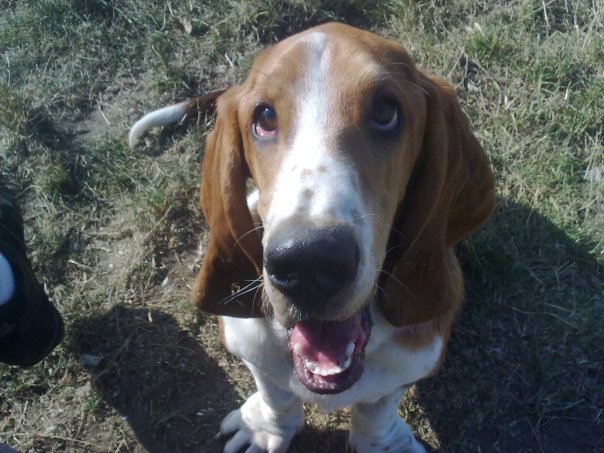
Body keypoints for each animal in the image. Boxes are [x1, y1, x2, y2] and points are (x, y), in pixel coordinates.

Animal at [129, 22, 495, 453]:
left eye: (385, 112)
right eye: (264, 117)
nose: (308, 262)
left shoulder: (409, 363)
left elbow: (377, 410)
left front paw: (381, 444)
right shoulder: (252, 348)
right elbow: (276, 394)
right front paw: (266, 428)